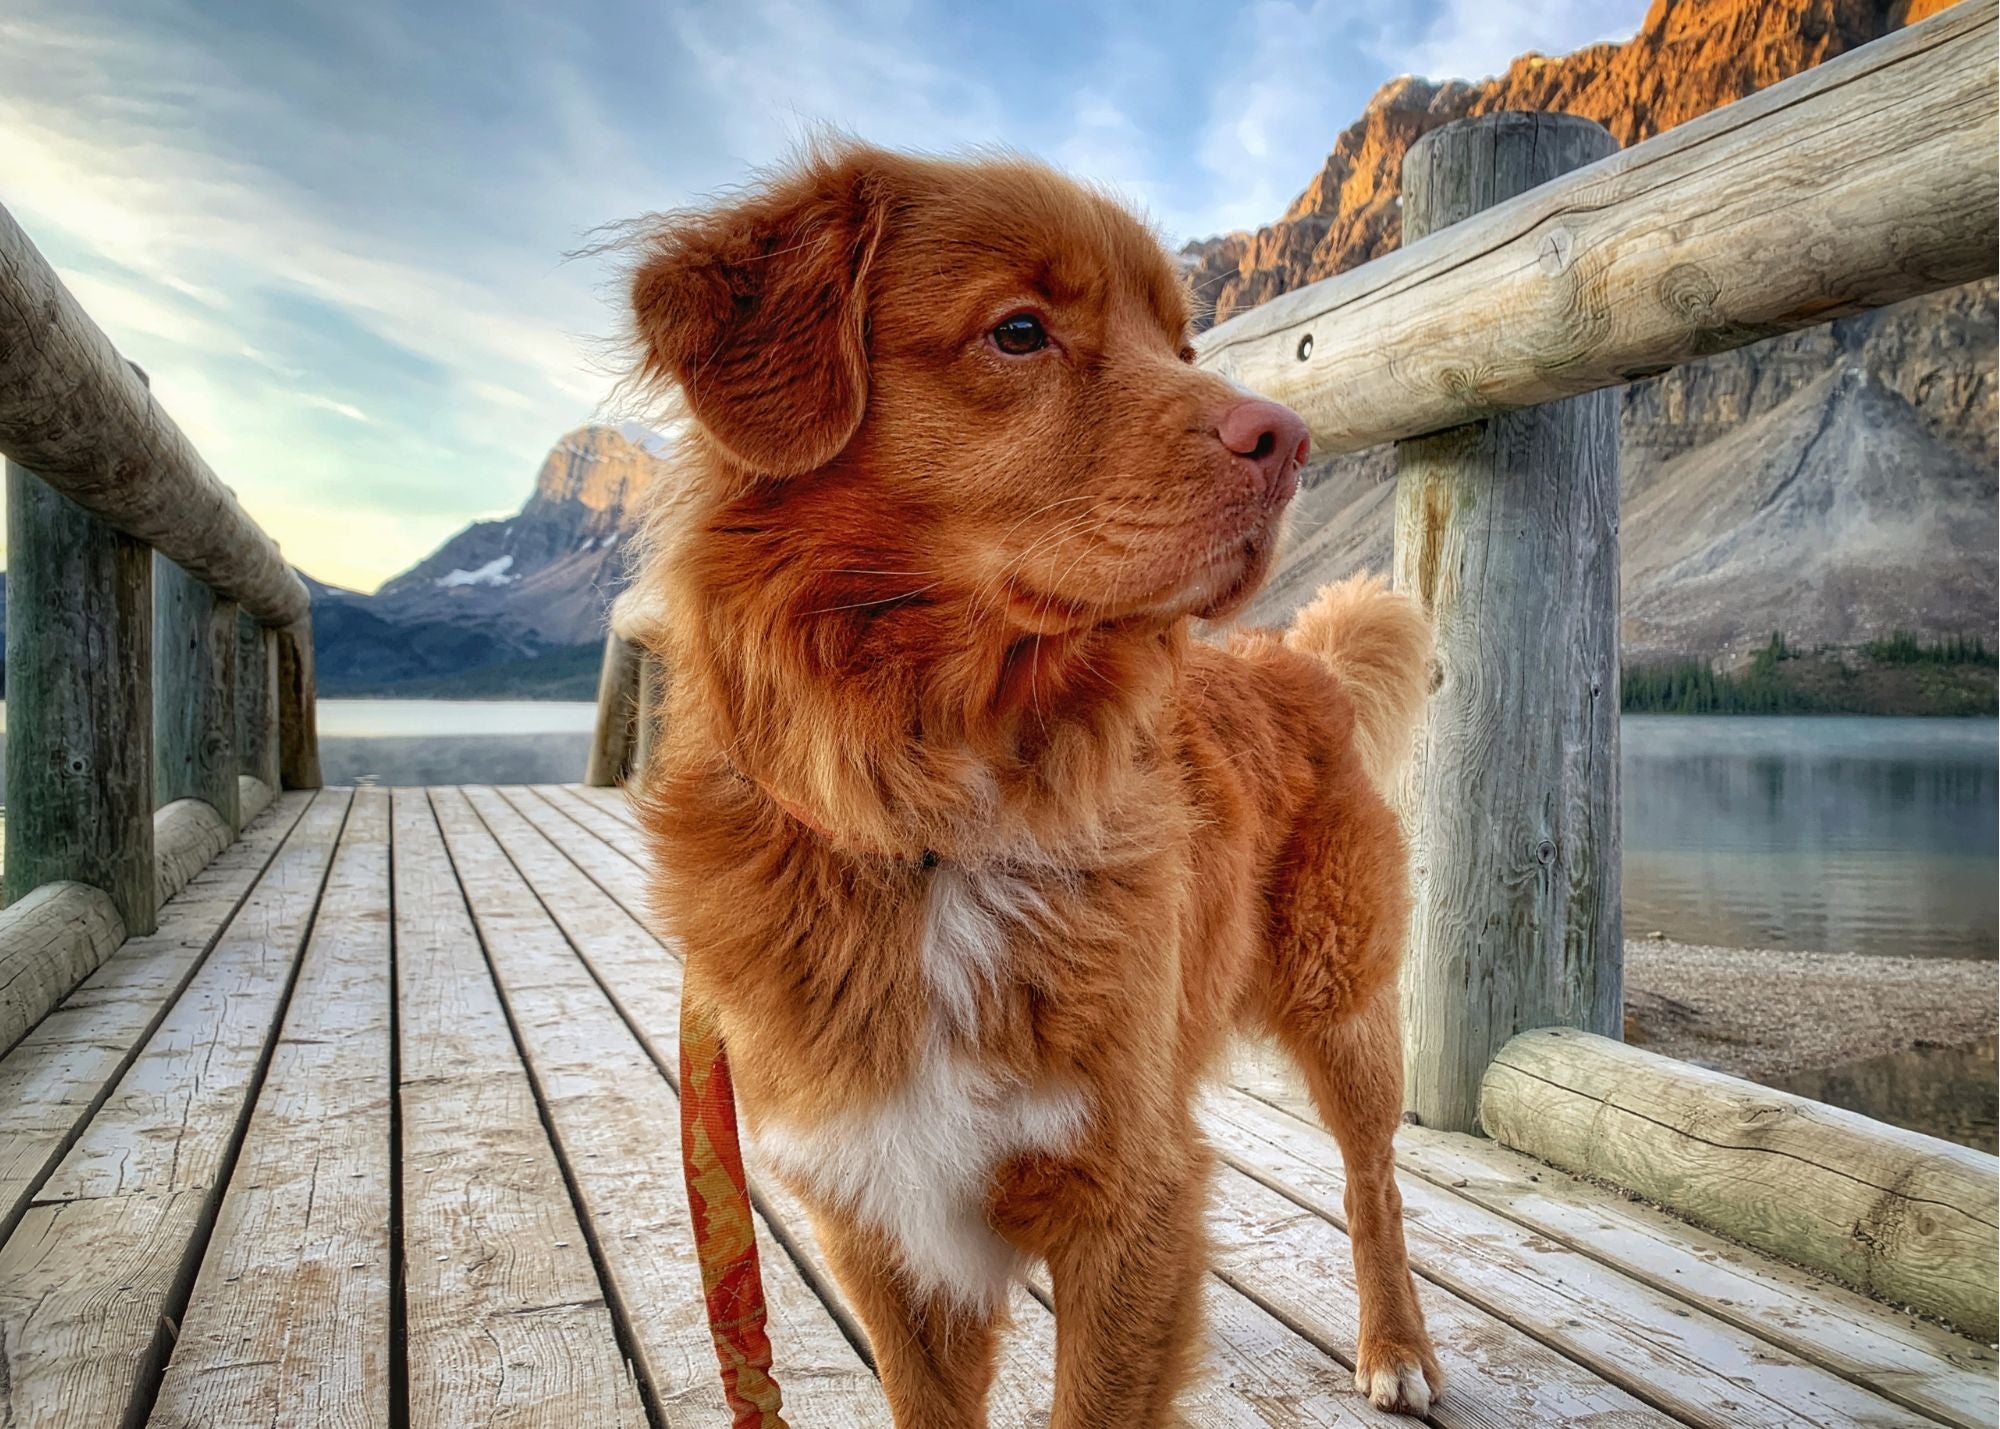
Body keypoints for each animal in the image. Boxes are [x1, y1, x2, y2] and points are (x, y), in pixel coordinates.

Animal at [620, 139, 1440, 1416]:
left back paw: (1393, 1344)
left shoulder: (1117, 1188)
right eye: (1018, 331)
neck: (941, 816)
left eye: (1181, 347)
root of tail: (1293, 659)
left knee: (1374, 1183)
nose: (1290, 440)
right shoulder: (884, 1221)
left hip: (1340, 998)